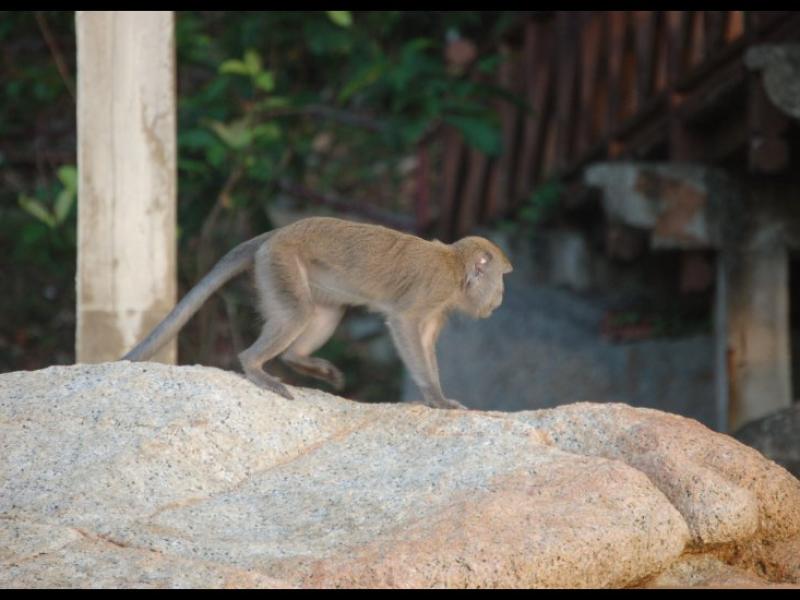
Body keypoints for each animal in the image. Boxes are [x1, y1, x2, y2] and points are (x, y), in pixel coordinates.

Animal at [122, 216, 513, 409]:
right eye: (501, 279)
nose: (502, 297)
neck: (455, 269)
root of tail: (276, 232)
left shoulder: (440, 306)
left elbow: (426, 338)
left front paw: (439, 396)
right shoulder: (433, 290)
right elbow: (404, 323)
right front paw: (435, 398)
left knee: (324, 313)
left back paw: (299, 359)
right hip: (281, 264)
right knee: (297, 313)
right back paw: (254, 366)